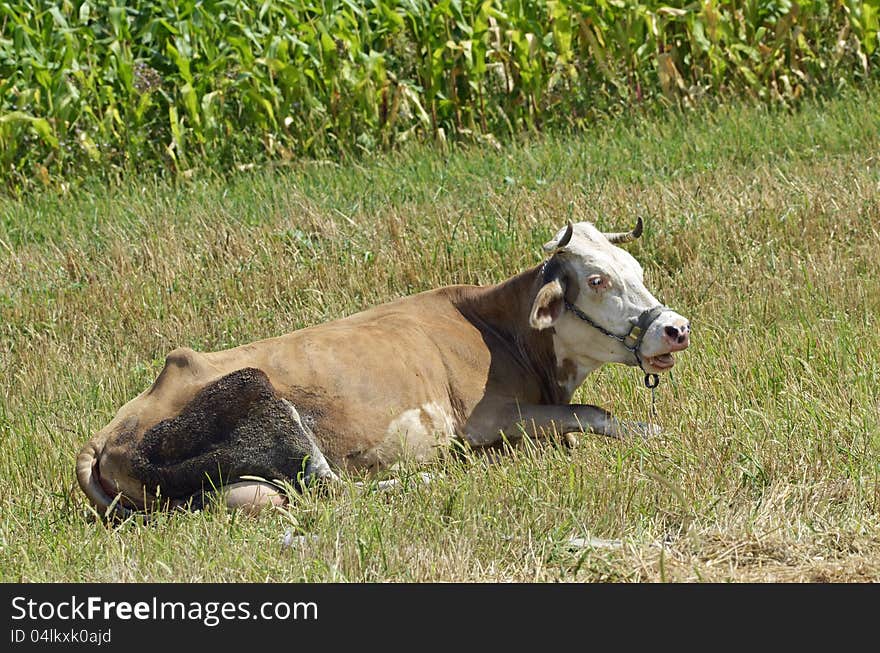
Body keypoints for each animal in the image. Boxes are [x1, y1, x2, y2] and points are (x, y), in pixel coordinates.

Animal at [75, 219, 692, 516]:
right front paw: (653, 431)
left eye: (635, 268)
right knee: (330, 490)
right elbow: (593, 412)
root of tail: (109, 432)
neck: (499, 328)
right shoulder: (483, 423)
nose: (675, 327)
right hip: (267, 405)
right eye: (597, 279)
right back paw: (423, 478)